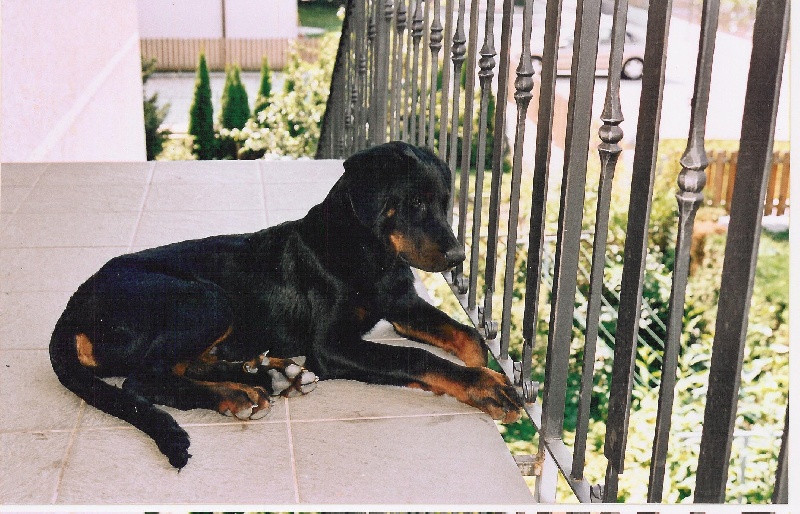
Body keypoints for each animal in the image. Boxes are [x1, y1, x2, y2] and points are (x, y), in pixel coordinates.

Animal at [50, 141, 523, 469]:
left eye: (444, 202)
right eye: (415, 203)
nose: (457, 258)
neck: (369, 251)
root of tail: (73, 307)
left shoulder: (402, 306)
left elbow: (467, 335)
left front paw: (488, 370)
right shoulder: (332, 347)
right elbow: (415, 358)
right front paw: (485, 387)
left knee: (181, 367)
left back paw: (270, 374)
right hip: (207, 300)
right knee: (144, 379)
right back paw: (239, 392)